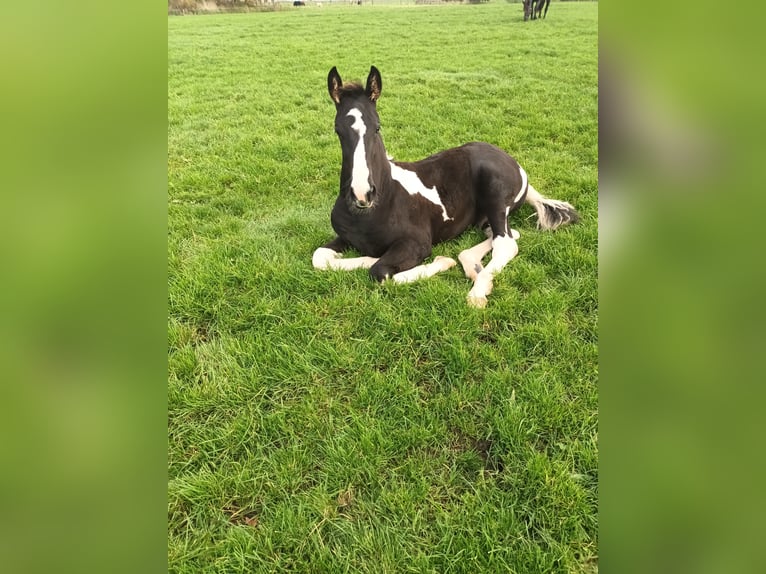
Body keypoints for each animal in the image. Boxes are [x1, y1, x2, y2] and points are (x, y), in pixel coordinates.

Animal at [314, 67, 584, 308]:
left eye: (377, 127)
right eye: (337, 130)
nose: (362, 194)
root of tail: (515, 164)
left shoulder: (417, 243)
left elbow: (380, 271)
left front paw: (441, 262)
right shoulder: (344, 237)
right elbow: (320, 257)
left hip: (496, 198)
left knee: (506, 243)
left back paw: (478, 292)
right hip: (484, 217)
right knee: (506, 236)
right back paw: (473, 268)